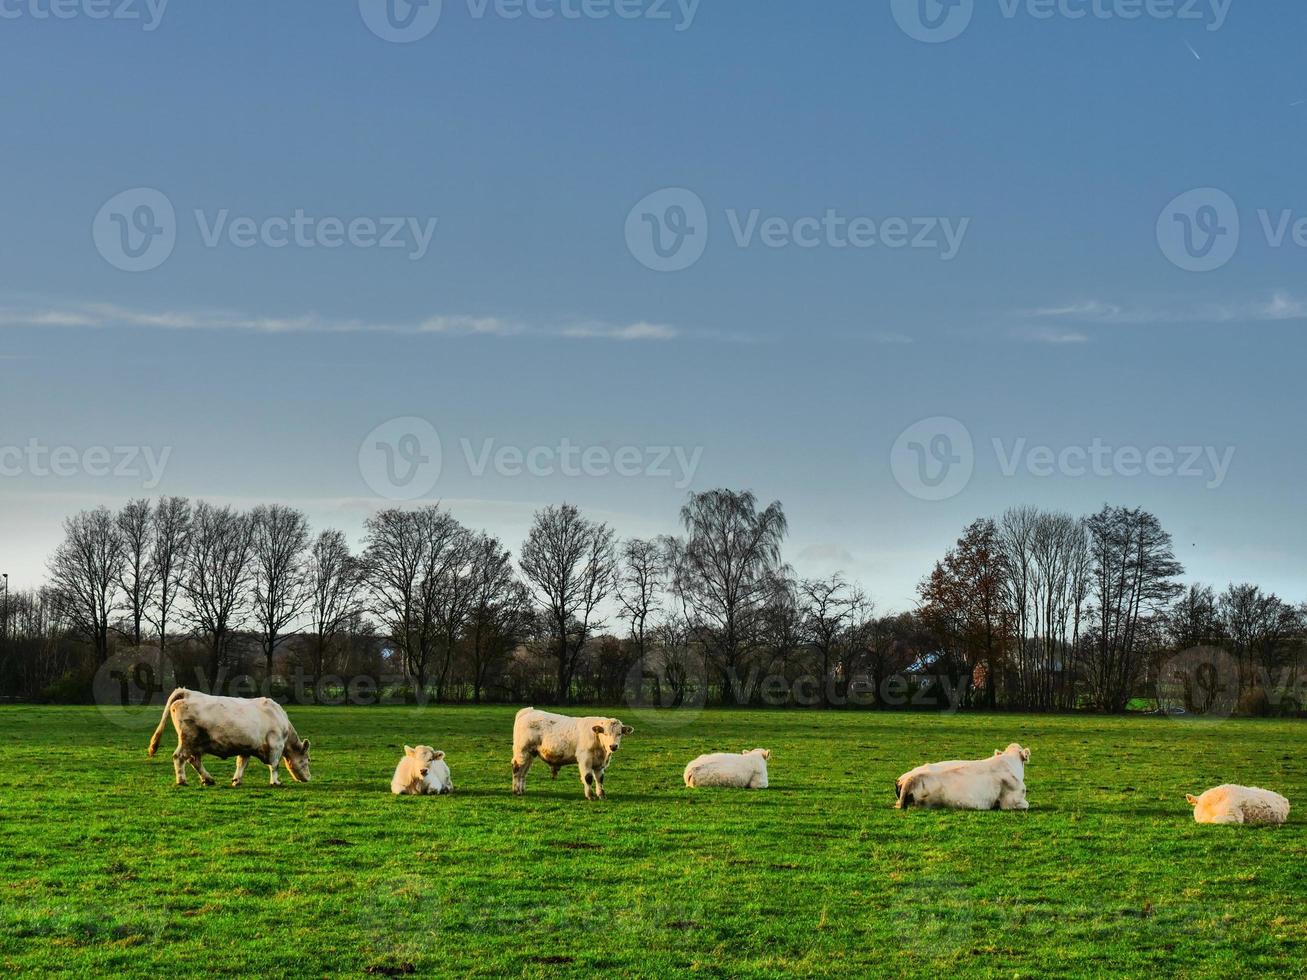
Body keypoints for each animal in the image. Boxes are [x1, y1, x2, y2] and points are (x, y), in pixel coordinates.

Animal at [147, 689, 311, 789]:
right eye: (308, 760)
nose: (309, 778)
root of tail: (188, 692)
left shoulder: (246, 747)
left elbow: (242, 764)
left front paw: (236, 780)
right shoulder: (276, 745)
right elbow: (275, 765)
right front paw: (276, 782)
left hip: (197, 744)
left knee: (195, 760)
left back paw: (208, 779)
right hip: (189, 739)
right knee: (179, 757)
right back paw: (182, 781)